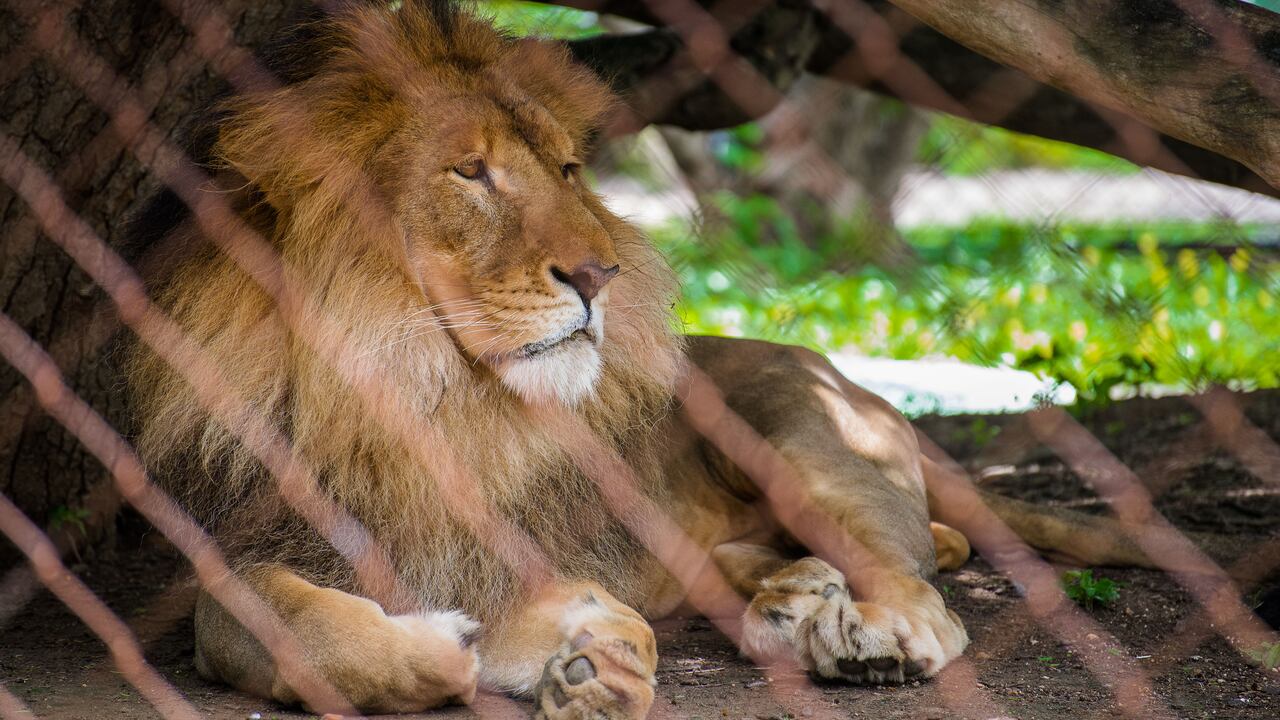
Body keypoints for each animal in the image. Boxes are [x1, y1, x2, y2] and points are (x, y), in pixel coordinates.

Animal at [126, 2, 1154, 717]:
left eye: (568, 170)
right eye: (471, 171)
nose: (600, 273)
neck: (428, 396)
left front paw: (582, 652)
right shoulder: (244, 555)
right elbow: (285, 626)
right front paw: (549, 657)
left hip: (805, 437)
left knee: (926, 572)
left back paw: (869, 629)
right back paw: (788, 599)